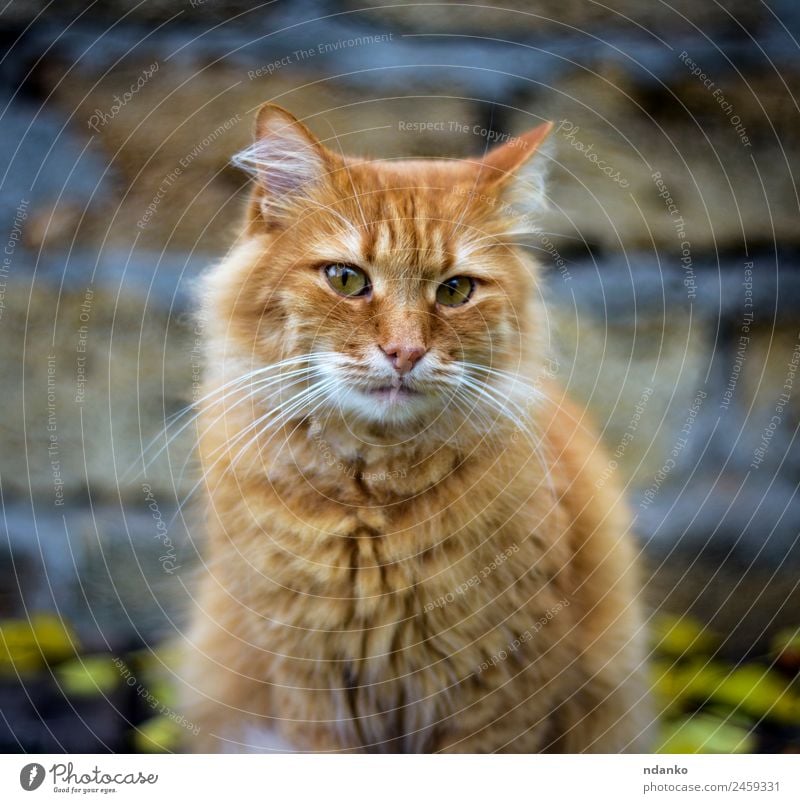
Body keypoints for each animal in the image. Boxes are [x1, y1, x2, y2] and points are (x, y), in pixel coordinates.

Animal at [181, 107, 648, 752]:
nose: (405, 352)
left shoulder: (499, 690)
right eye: (346, 280)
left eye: (455, 290)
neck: (371, 500)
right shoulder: (310, 689)